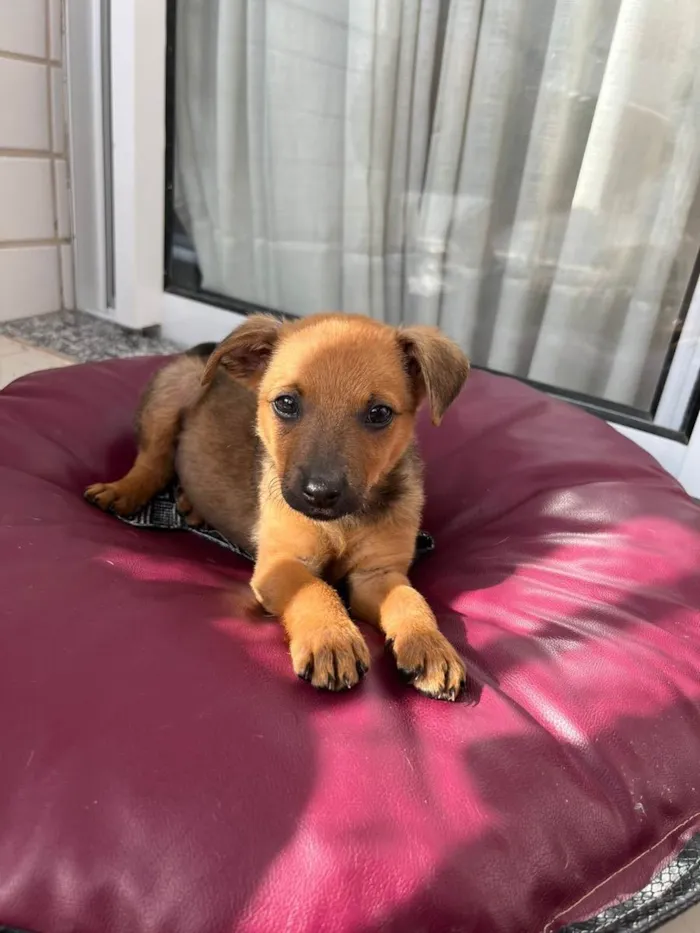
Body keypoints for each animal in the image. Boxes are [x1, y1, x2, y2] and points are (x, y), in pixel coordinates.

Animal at [87, 314, 470, 700]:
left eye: (379, 413)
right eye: (286, 403)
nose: (320, 493)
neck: (341, 524)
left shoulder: (377, 575)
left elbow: (410, 599)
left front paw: (429, 645)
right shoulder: (281, 563)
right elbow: (315, 588)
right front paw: (332, 639)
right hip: (174, 389)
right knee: (153, 462)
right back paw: (124, 491)